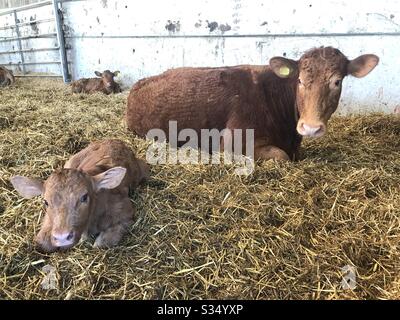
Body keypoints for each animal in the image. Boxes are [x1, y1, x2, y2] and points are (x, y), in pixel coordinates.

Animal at [10, 139, 148, 252]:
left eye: (84, 197)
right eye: (46, 202)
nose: (62, 237)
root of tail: (114, 140)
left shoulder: (126, 213)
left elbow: (101, 243)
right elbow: (43, 242)